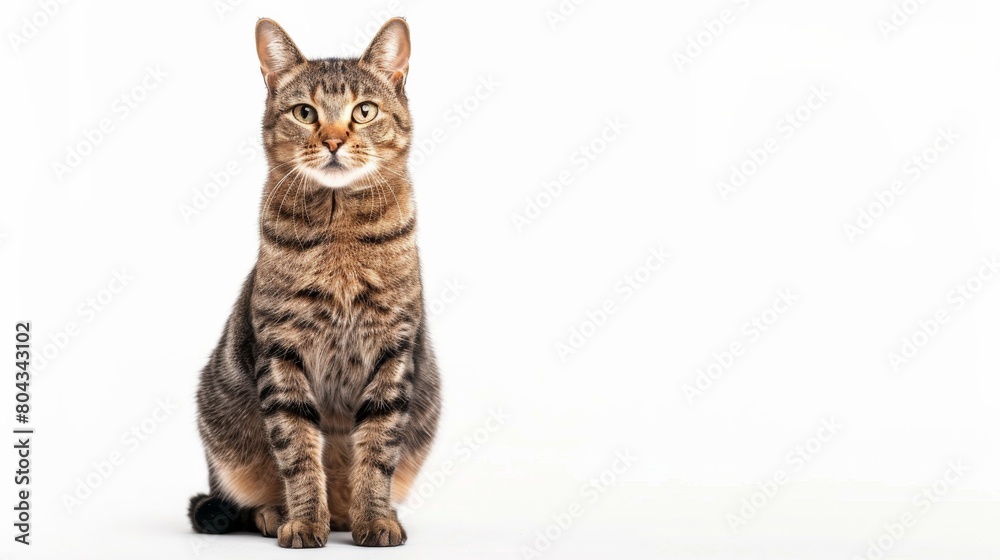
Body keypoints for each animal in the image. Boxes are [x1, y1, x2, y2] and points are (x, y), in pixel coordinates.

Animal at [188, 16, 438, 548]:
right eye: (305, 112)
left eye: (364, 111)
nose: (333, 140)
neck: (340, 230)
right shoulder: (281, 351)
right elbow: (299, 452)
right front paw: (303, 521)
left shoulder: (393, 349)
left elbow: (377, 452)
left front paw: (374, 518)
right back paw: (273, 513)